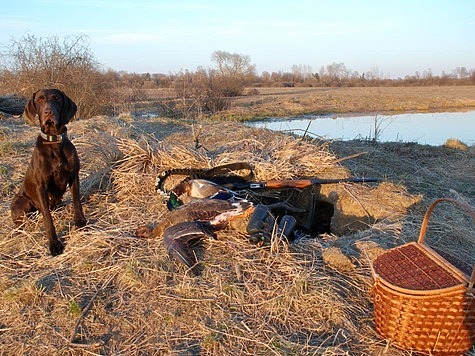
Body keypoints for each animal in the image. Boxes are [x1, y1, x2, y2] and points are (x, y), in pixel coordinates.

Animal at [10, 89, 86, 256]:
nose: (48, 112)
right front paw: (54, 244)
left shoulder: (74, 176)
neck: (54, 141)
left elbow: (76, 201)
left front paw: (80, 221)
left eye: (56, 98)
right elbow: (47, 217)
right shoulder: (41, 187)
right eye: (39, 100)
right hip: (22, 203)